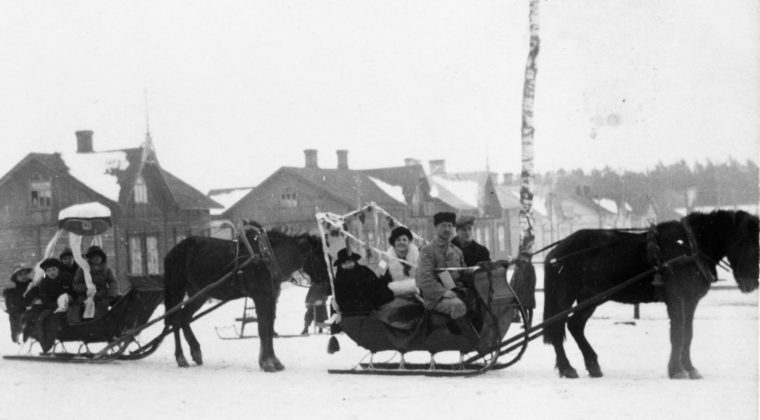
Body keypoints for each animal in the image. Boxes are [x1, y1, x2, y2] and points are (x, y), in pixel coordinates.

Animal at [162, 223, 328, 370]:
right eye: (321, 257)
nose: (328, 285)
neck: (266, 257)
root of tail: (172, 251)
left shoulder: (271, 298)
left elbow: (269, 328)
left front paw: (273, 361)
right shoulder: (261, 298)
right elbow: (263, 329)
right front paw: (267, 363)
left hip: (199, 294)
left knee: (184, 318)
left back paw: (196, 351)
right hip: (177, 290)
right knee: (175, 320)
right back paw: (181, 357)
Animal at [544, 212, 756, 378]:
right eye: (745, 241)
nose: (752, 283)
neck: (688, 247)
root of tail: (555, 253)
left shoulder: (690, 301)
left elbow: (688, 334)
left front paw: (690, 369)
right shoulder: (676, 299)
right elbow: (677, 333)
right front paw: (677, 370)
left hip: (591, 298)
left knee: (575, 325)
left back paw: (592, 365)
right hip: (565, 297)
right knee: (558, 328)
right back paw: (567, 368)